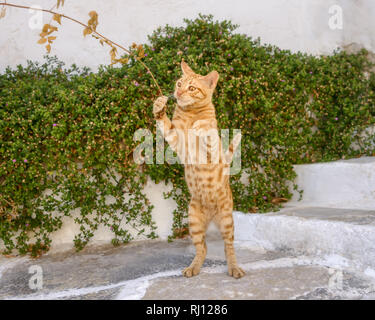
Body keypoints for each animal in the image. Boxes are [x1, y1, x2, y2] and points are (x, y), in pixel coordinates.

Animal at [154, 60, 245, 278]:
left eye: (192, 88)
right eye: (179, 83)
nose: (178, 93)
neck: (190, 113)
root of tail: (212, 217)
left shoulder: (212, 151)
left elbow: (208, 132)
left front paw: (201, 126)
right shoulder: (175, 140)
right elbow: (164, 123)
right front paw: (159, 106)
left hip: (227, 220)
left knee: (228, 247)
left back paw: (234, 268)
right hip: (193, 221)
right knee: (202, 247)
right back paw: (193, 267)